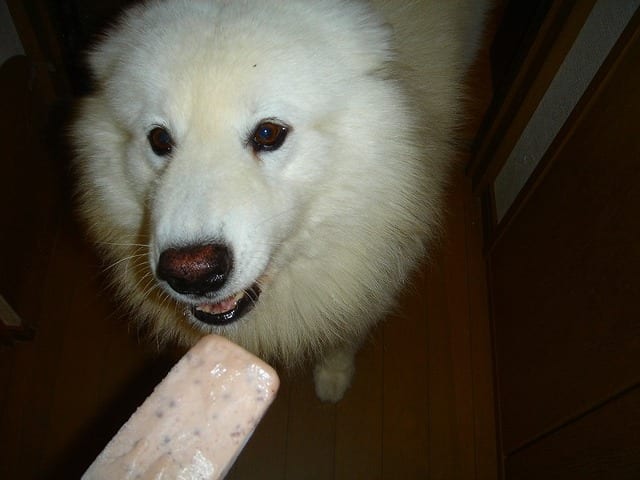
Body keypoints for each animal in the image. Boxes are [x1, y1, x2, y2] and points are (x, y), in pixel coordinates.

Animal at [72, 0, 486, 402]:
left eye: (268, 133)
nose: (193, 272)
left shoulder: (370, 283)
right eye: (159, 139)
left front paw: (333, 377)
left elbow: (344, 335)